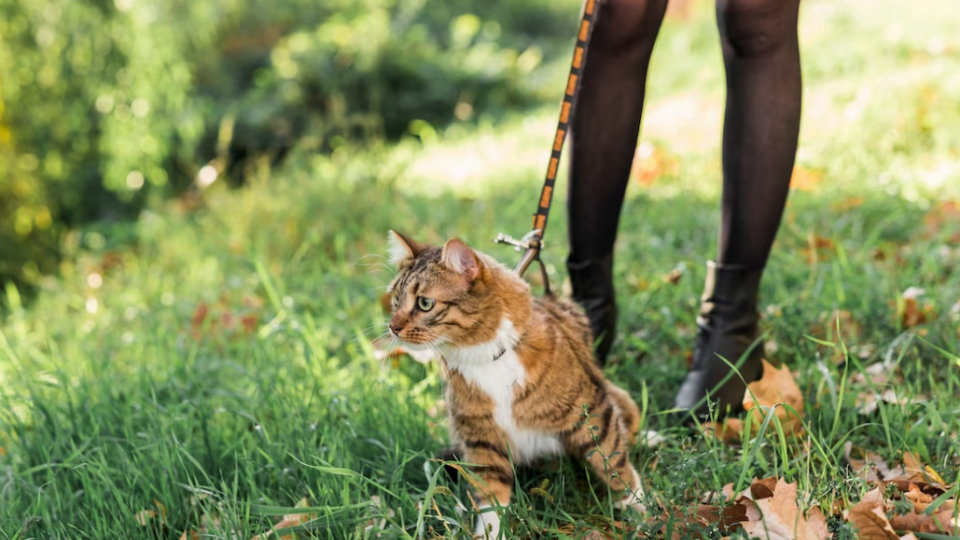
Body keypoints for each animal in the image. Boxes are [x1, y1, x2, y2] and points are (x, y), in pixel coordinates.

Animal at [382, 230, 644, 536]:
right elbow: (491, 496)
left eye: (425, 303)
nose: (393, 327)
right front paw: (489, 532)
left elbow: (613, 459)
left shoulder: (591, 411)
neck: (484, 357)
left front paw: (637, 505)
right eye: (396, 299)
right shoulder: (481, 438)